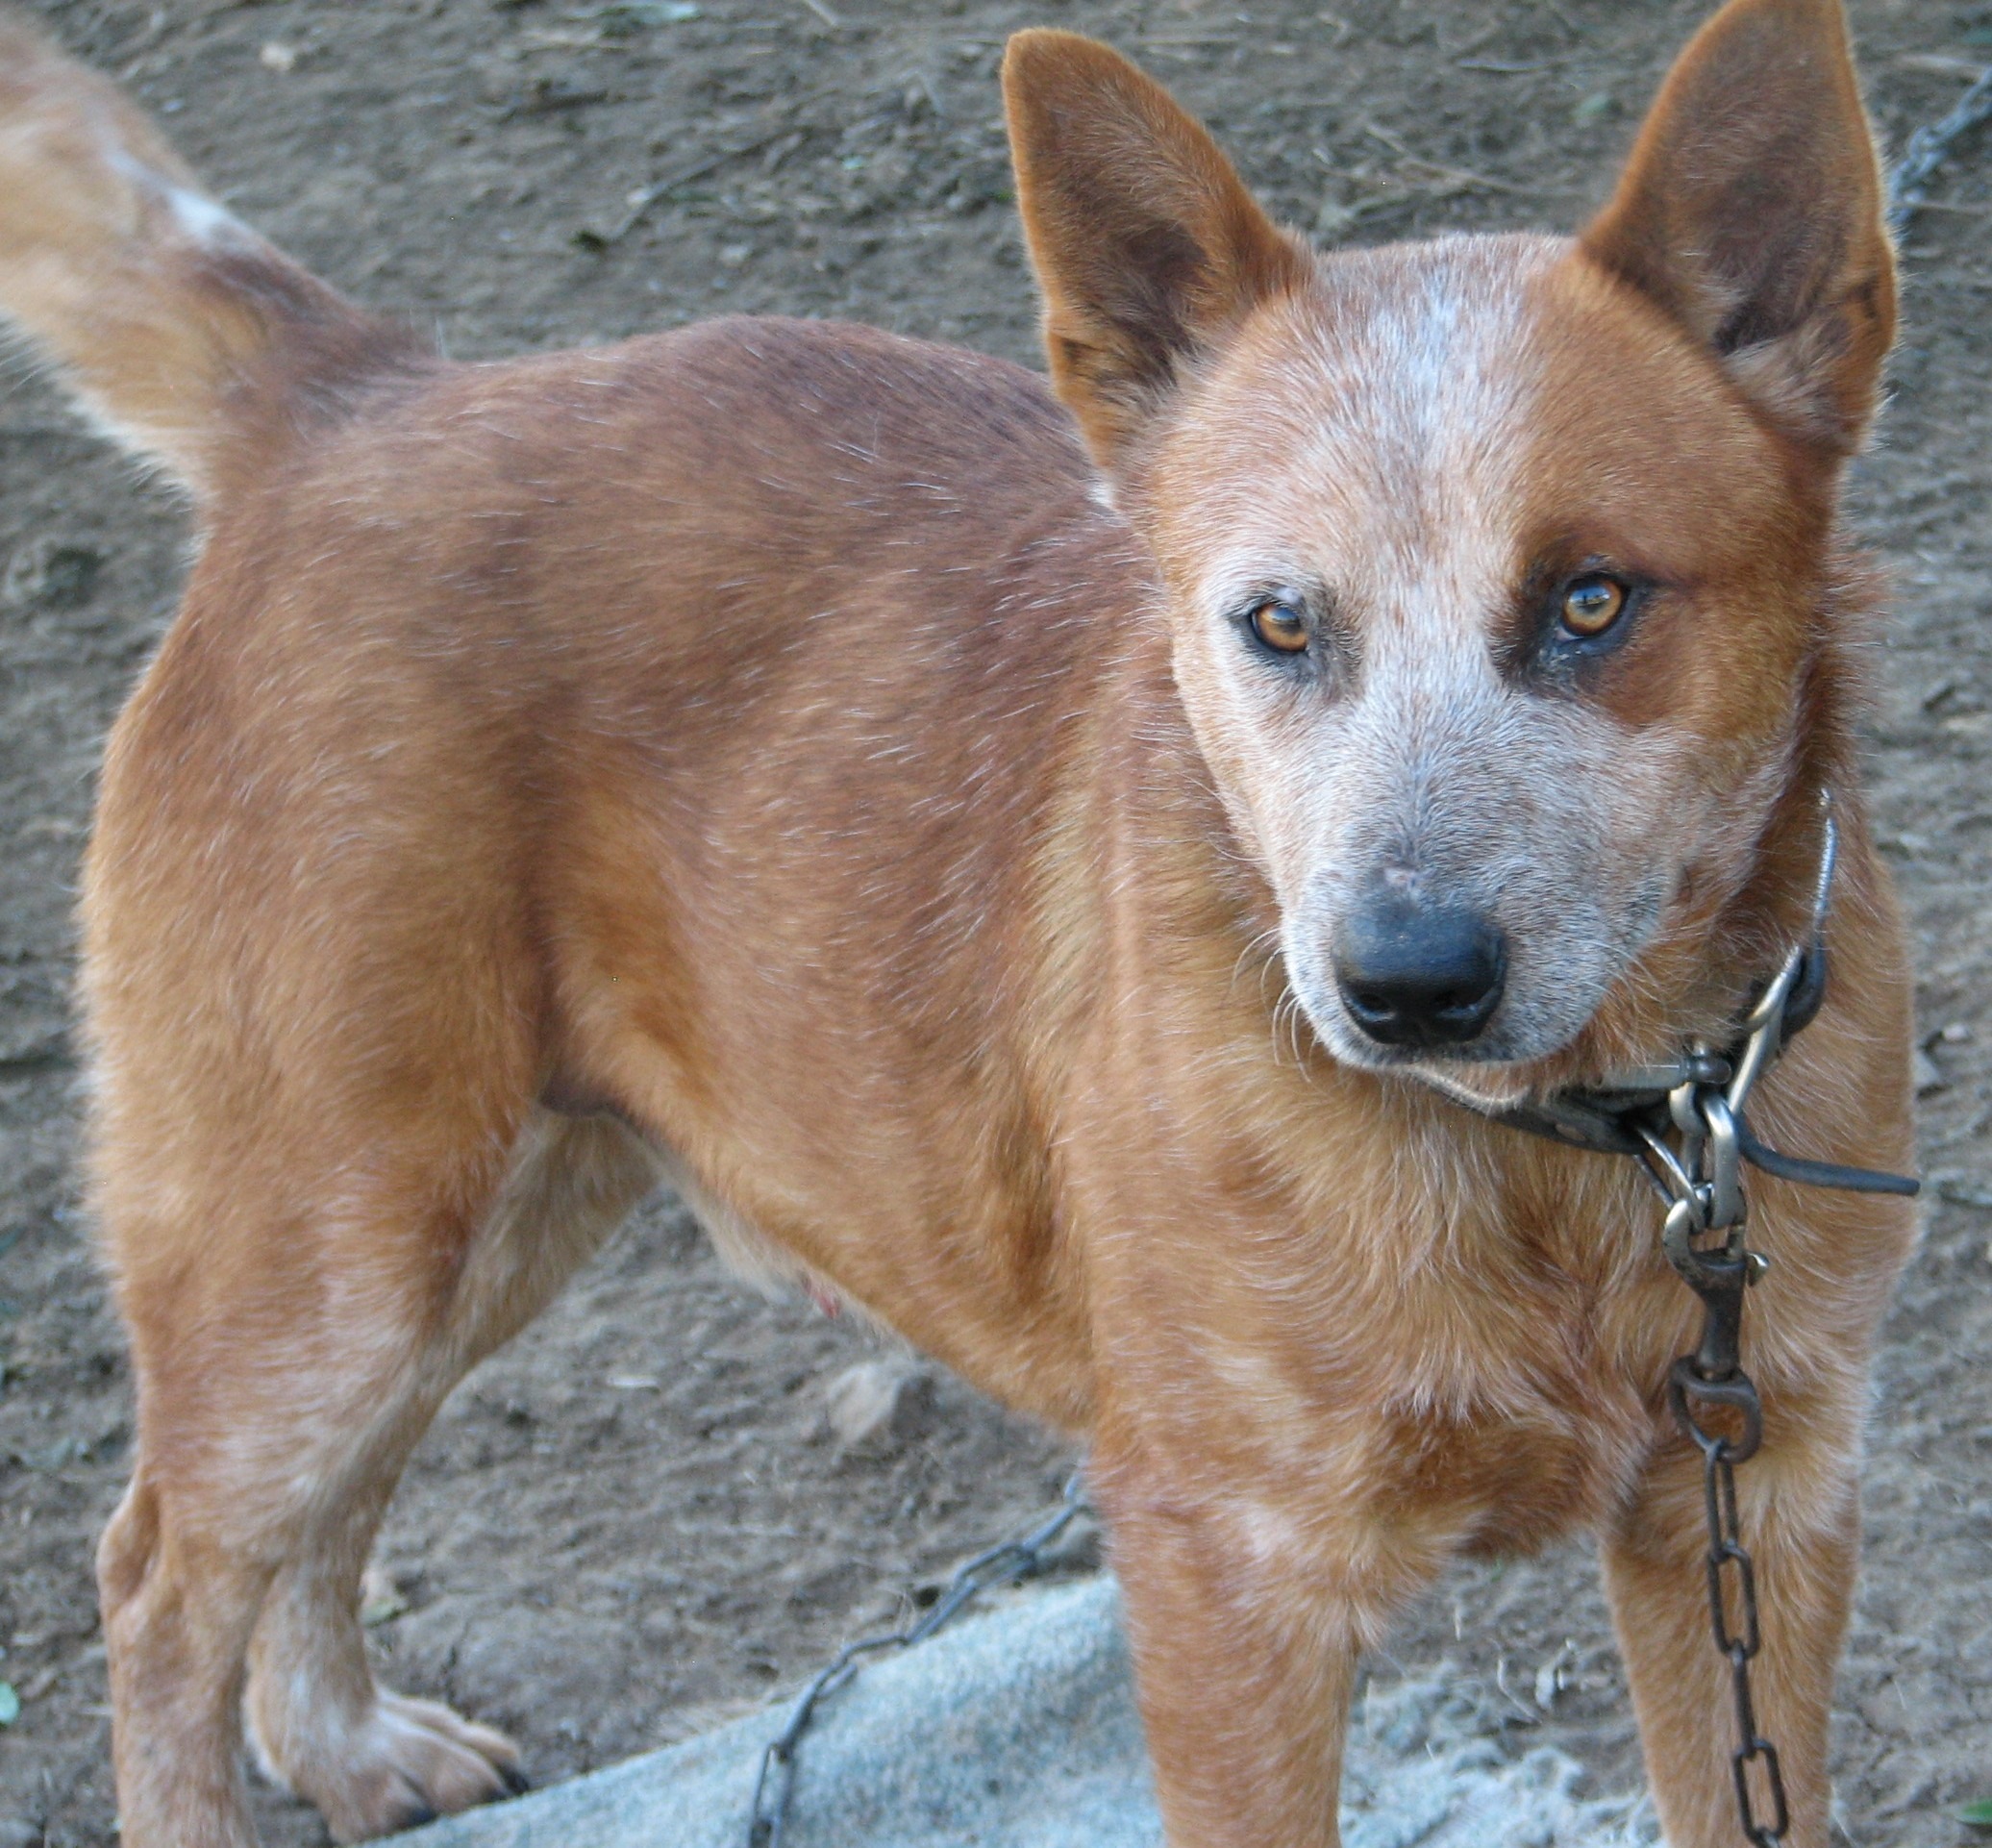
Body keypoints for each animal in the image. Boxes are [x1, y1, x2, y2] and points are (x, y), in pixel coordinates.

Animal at [4, 0, 1928, 1839]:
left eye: (1592, 599)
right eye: (1277, 621)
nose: (1402, 983)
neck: (1579, 1157)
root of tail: (356, 394)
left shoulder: (1749, 1501)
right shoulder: (1228, 1572)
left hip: (494, 1201)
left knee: (315, 1510)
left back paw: (343, 1743)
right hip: (324, 1229)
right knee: (161, 1569)